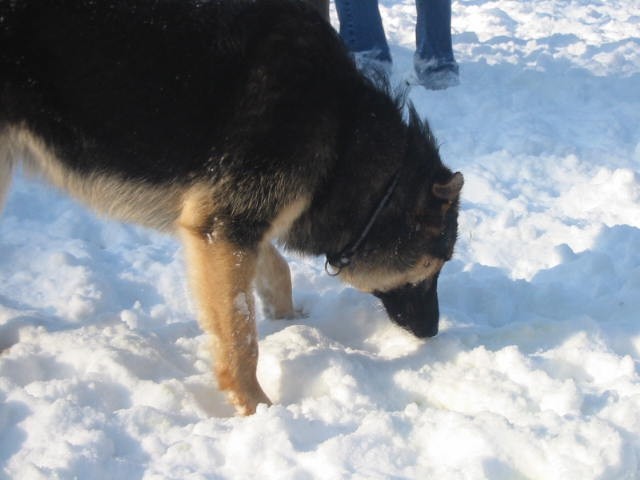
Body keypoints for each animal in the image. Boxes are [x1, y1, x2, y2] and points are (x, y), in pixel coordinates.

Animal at [0, 0, 460, 414]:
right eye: (430, 267)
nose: (433, 332)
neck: (344, 137)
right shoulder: (227, 226)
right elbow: (240, 334)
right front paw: (256, 406)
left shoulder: (236, 223)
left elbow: (276, 269)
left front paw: (289, 319)